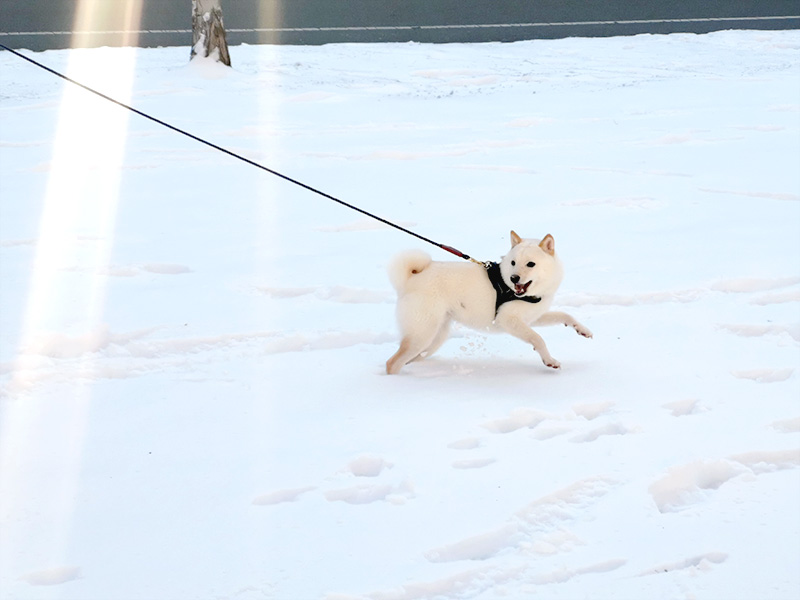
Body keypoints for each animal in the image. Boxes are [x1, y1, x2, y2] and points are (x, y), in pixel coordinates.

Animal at [384, 231, 592, 376]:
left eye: (530, 264)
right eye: (513, 262)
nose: (514, 278)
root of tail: (411, 278)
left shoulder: (532, 318)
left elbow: (565, 315)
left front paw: (583, 330)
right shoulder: (508, 320)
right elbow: (538, 338)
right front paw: (549, 360)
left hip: (433, 339)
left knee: (408, 358)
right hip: (422, 335)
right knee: (392, 363)